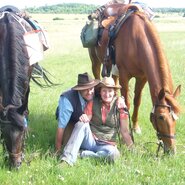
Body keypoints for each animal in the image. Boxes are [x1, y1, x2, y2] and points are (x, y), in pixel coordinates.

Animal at [88, 3, 181, 153]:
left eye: (176, 117)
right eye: (161, 117)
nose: (171, 150)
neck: (136, 39)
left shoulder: (142, 77)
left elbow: (137, 101)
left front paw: (136, 127)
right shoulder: (125, 76)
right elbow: (127, 103)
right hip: (95, 61)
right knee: (97, 78)